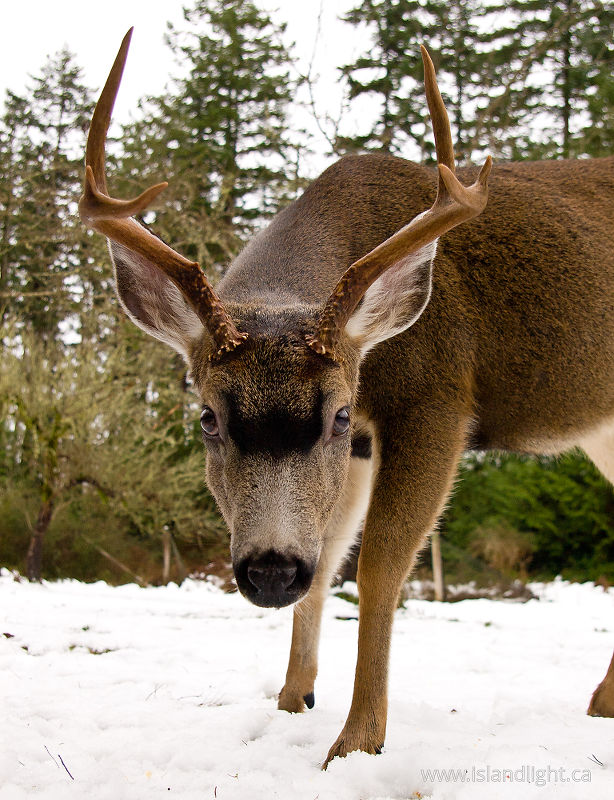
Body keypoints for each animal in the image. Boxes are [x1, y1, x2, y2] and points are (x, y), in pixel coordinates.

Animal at [79, 29, 614, 768]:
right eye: (208, 417)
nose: (271, 571)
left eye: (335, 412)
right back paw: (602, 702)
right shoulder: (360, 446)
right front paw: (291, 700)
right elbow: (330, 553)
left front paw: (357, 741)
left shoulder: (436, 397)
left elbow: (381, 563)